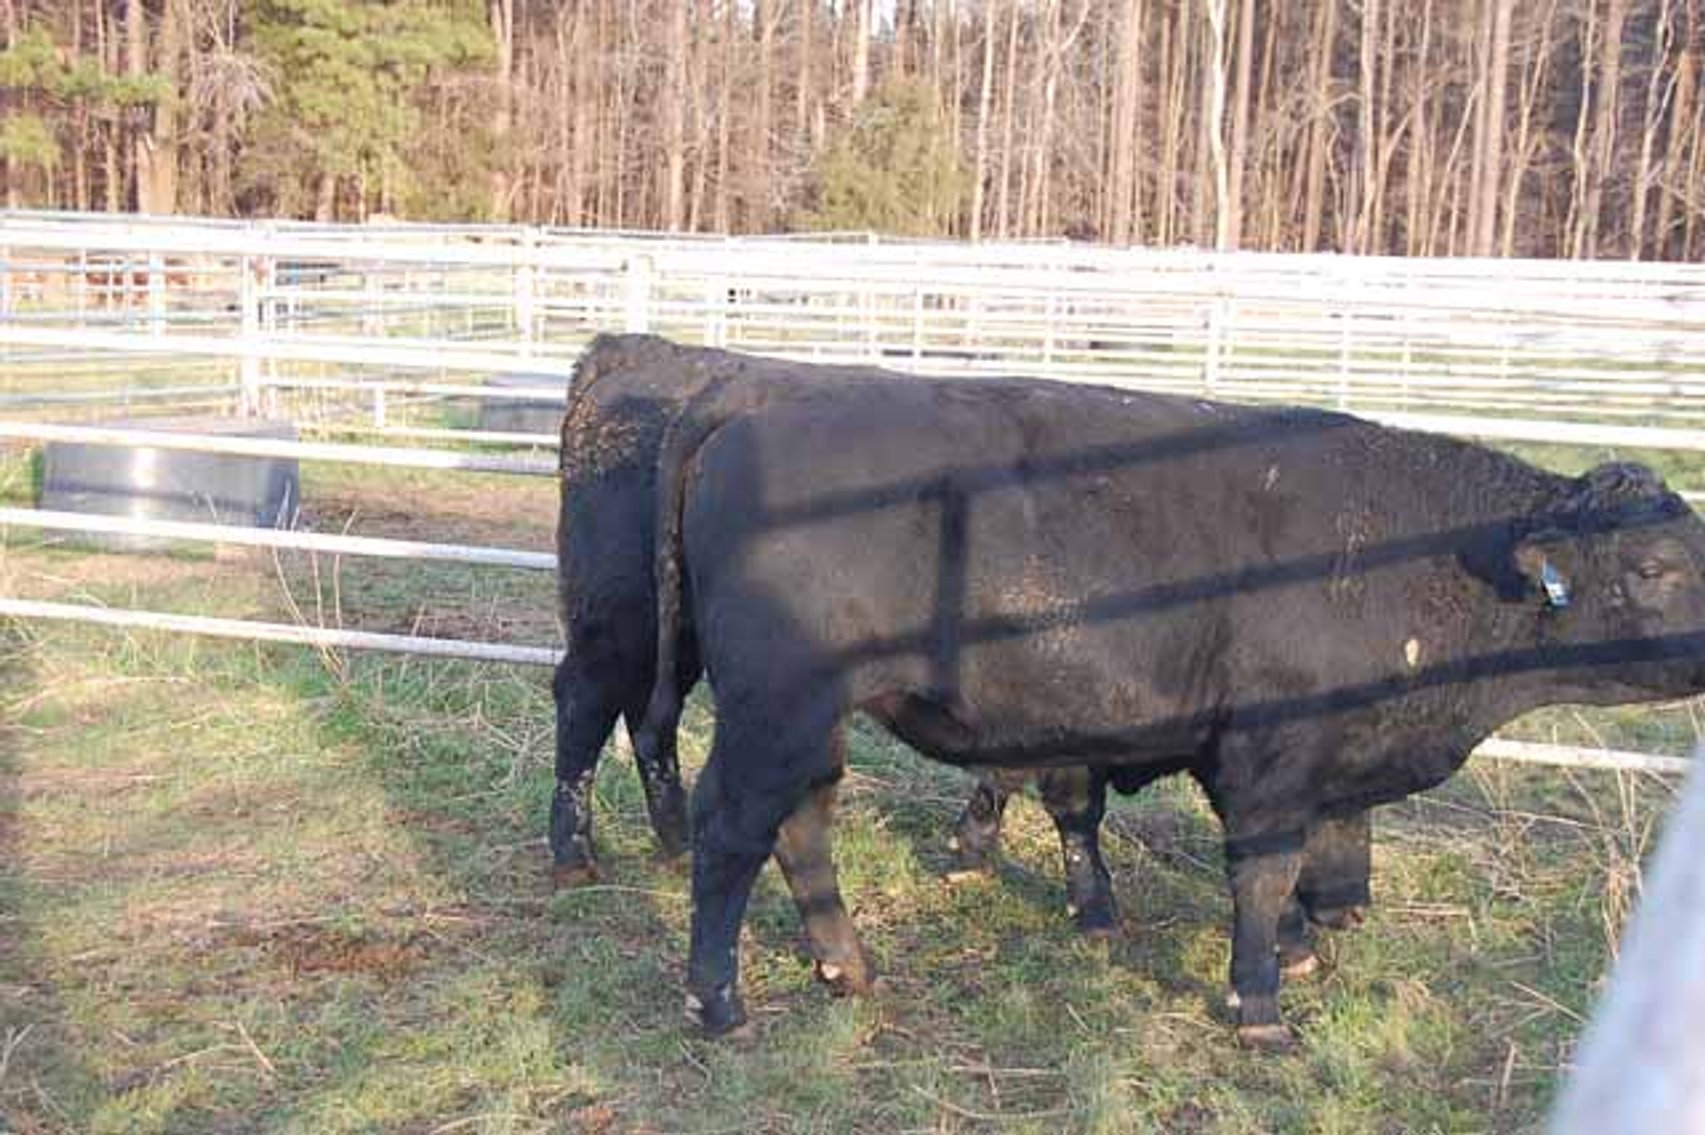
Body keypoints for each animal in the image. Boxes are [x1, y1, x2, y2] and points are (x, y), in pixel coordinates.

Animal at [553, 336, 1372, 958]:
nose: (1352, 906)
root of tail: (646, 354)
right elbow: (1068, 795)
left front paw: (978, 848)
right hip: (622, 626)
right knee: (587, 704)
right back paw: (574, 855)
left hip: (673, 639)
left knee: (642, 721)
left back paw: (667, 842)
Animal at [636, 370, 1705, 1049]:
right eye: (1654, 567)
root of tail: (750, 406)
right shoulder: (1271, 757)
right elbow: (1265, 873)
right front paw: (1260, 1005)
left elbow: (1311, 863)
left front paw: (1297, 952)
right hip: (775, 708)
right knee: (732, 828)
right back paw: (715, 1001)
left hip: (813, 719)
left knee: (802, 823)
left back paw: (846, 966)